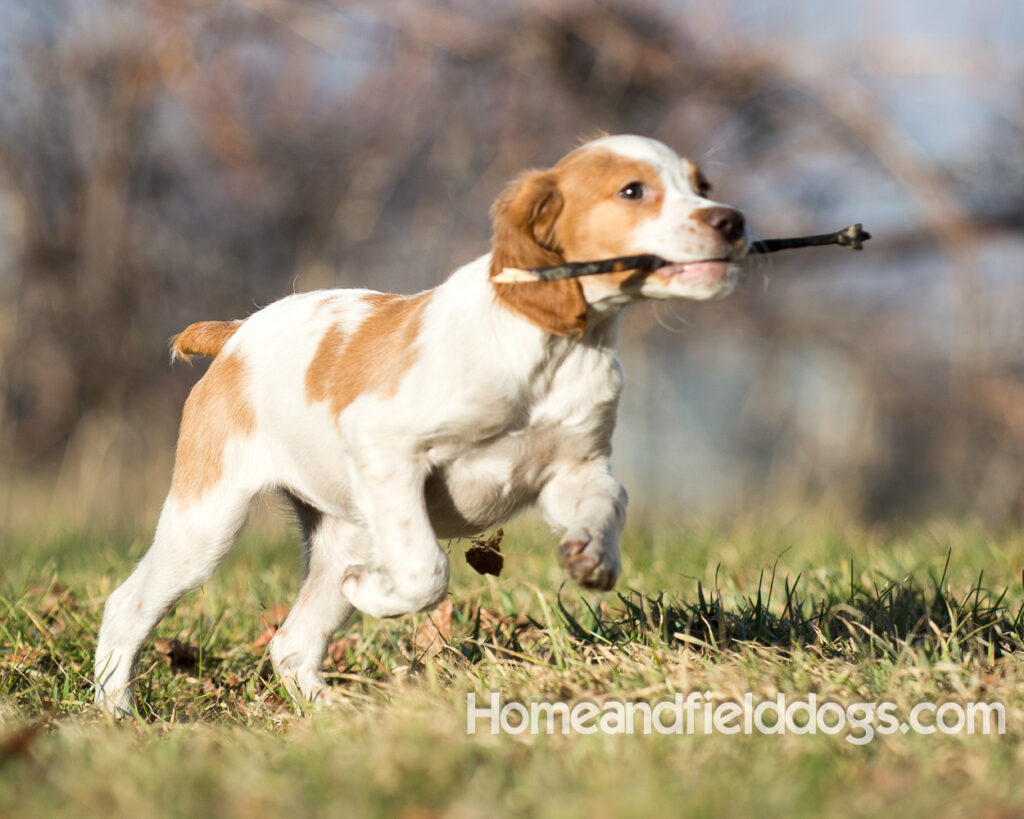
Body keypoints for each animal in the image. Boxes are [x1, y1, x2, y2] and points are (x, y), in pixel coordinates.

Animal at [96, 133, 749, 708]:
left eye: (702, 185)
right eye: (633, 191)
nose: (734, 221)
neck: (552, 346)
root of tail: (235, 334)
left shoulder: (571, 470)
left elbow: (609, 501)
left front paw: (593, 556)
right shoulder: (389, 452)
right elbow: (426, 570)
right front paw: (373, 590)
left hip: (343, 532)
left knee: (292, 643)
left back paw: (335, 715)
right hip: (207, 522)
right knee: (127, 606)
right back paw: (117, 713)